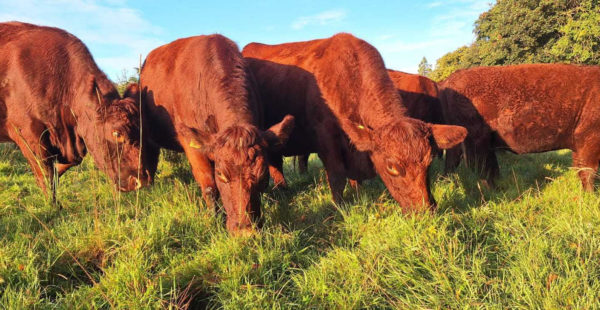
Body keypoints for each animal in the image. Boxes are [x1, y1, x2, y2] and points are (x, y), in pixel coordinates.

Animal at [0, 21, 152, 201]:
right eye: (117, 133)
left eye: (142, 131)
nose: (141, 180)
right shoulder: (29, 136)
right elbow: (46, 176)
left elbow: (63, 167)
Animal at [138, 34, 292, 232]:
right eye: (221, 174)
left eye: (263, 174)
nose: (245, 232)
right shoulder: (192, 145)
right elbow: (209, 187)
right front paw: (214, 217)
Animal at [241, 33, 466, 211]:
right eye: (392, 166)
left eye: (428, 162)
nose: (426, 209)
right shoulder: (326, 138)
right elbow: (337, 176)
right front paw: (340, 206)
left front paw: (358, 194)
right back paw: (281, 190)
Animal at [438, 64, 600, 190]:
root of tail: (449, 81)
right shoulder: (588, 139)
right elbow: (588, 171)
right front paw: (590, 196)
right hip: (476, 141)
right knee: (482, 169)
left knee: (458, 164)